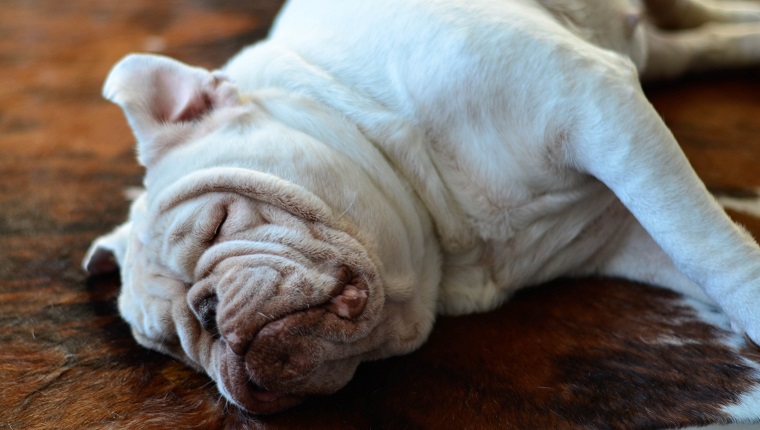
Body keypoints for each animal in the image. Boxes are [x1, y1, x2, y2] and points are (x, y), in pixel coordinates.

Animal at [84, 0, 760, 414]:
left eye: (220, 220)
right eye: (173, 347)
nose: (206, 313)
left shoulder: (593, 104)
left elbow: (708, 249)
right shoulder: (620, 231)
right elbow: (693, 257)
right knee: (691, 45)